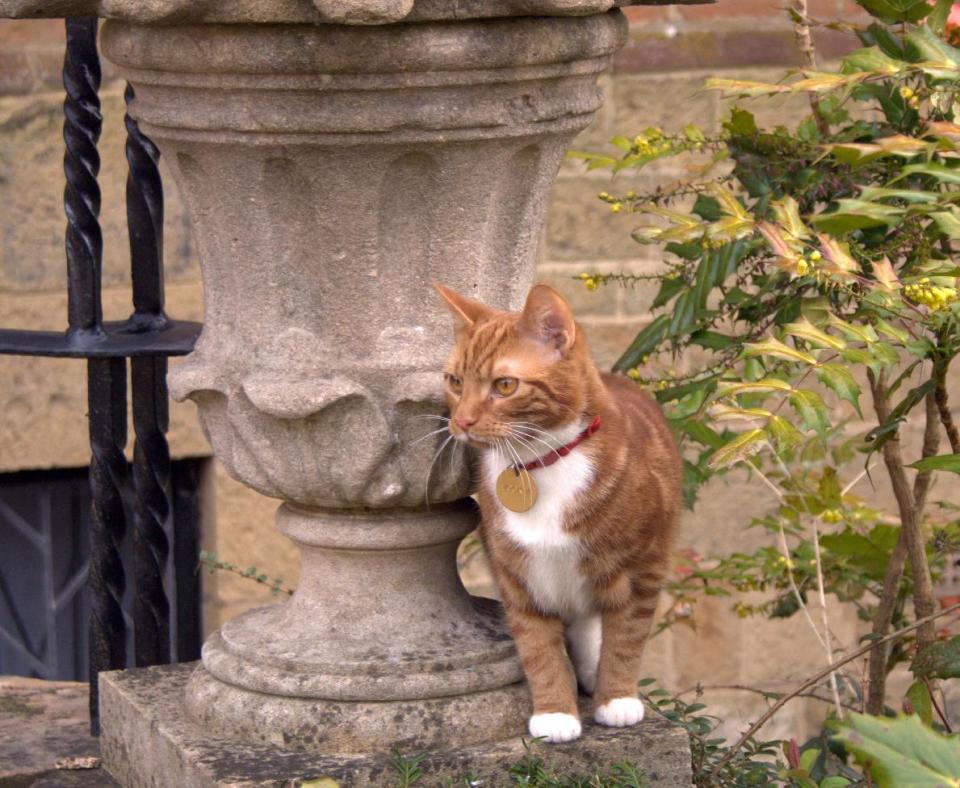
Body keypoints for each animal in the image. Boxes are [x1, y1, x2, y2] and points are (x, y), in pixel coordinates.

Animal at [436, 284, 684, 744]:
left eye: (505, 385)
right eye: (455, 381)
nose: (461, 422)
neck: (539, 463)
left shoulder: (643, 568)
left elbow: (626, 638)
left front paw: (616, 699)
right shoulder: (517, 576)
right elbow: (537, 647)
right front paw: (554, 712)